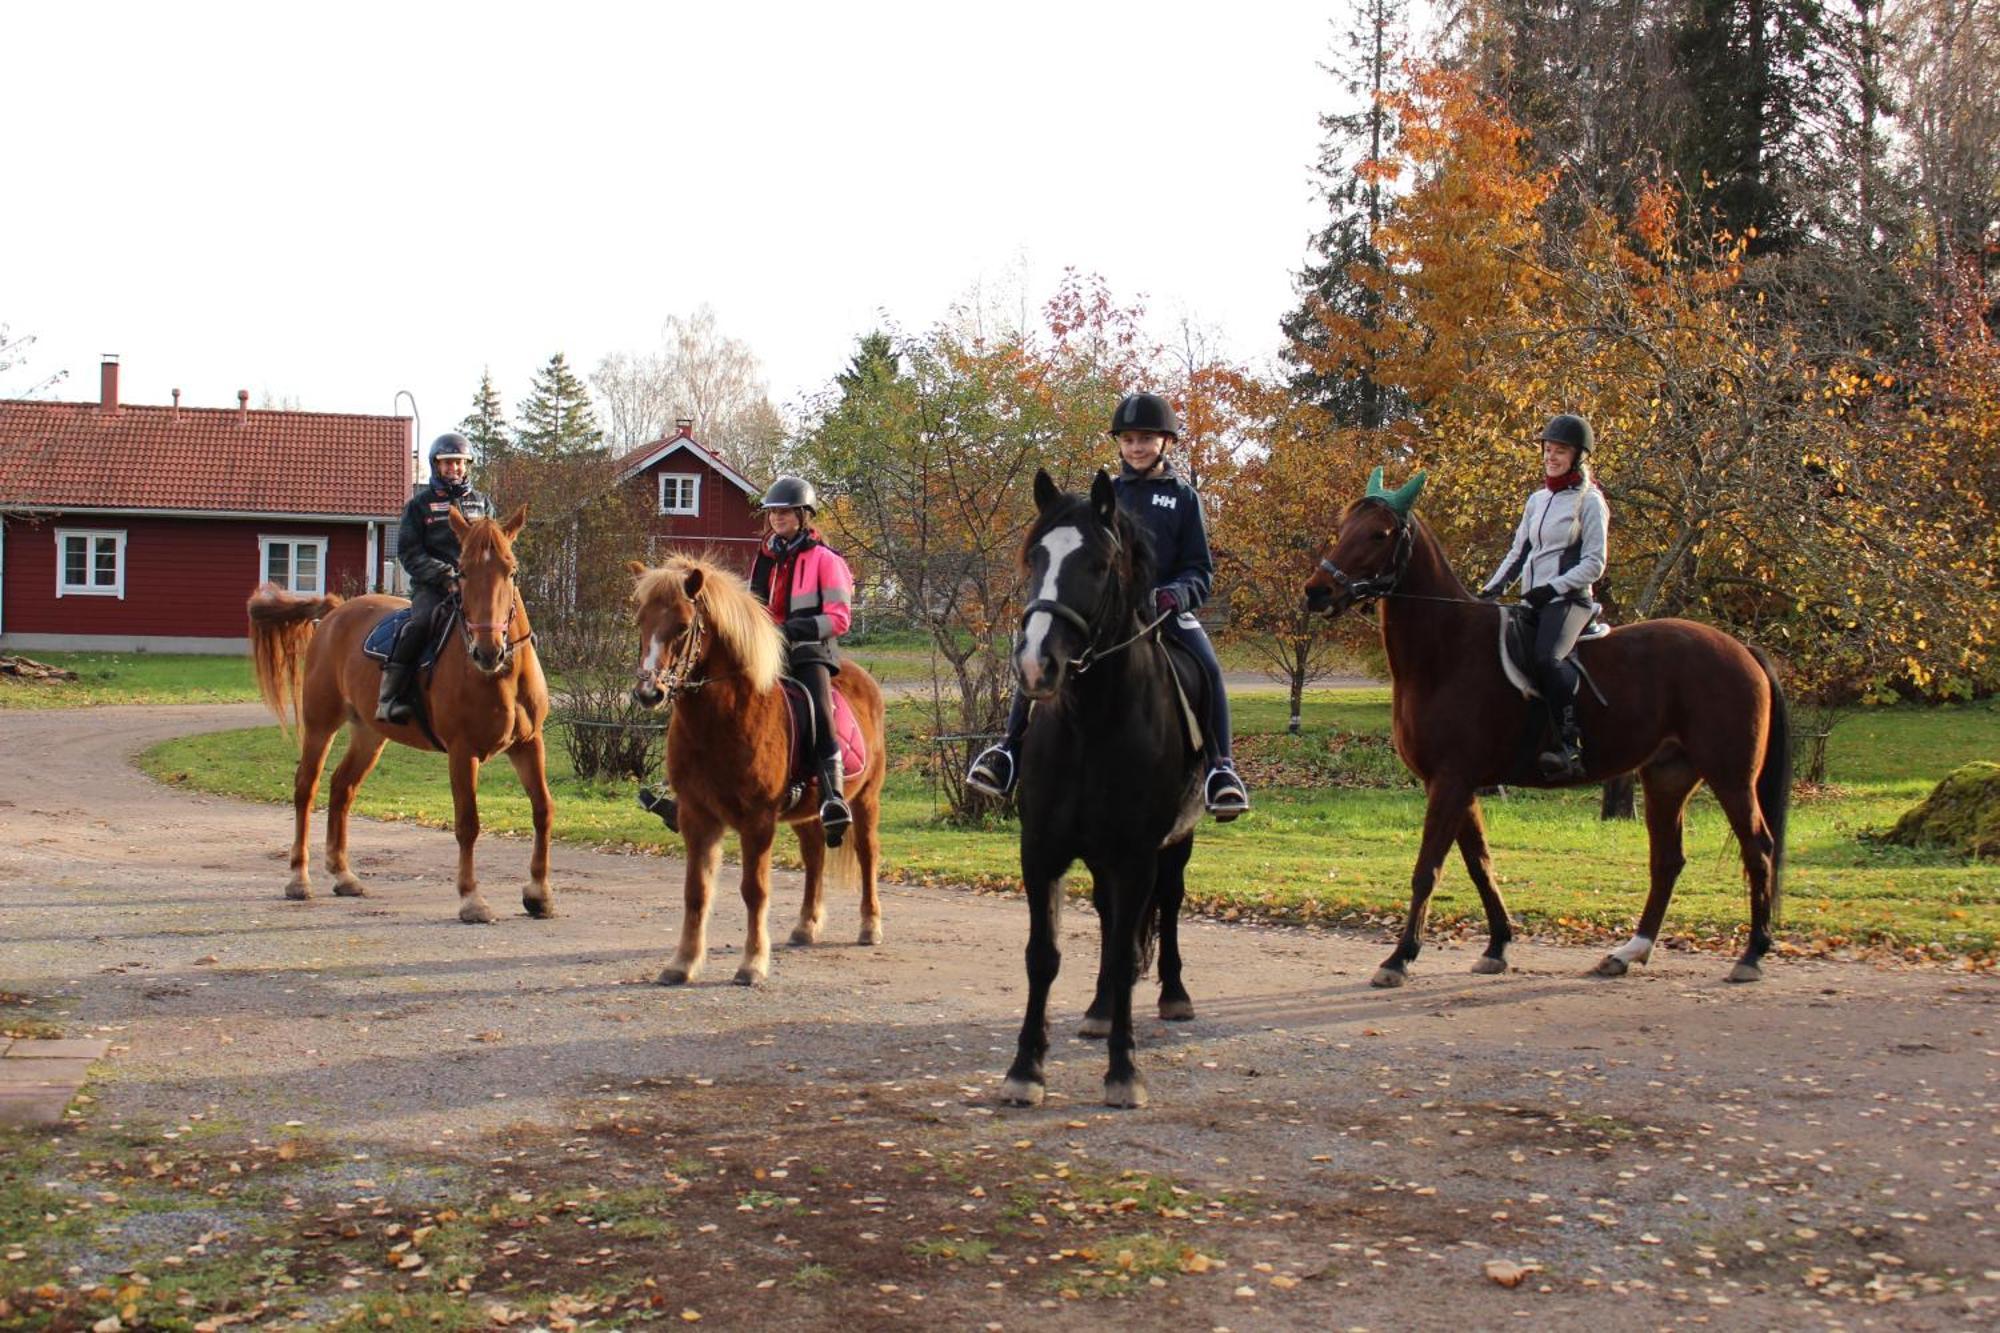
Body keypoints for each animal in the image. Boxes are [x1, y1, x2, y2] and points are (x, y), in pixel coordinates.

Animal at [245, 504, 552, 920]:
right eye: (462, 571)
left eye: (512, 570)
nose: (488, 651)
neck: (500, 675)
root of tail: (337, 611)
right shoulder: (462, 751)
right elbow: (467, 823)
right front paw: (471, 898)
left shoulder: (528, 744)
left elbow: (543, 810)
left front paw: (539, 894)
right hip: (320, 724)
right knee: (306, 788)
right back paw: (299, 879)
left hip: (370, 734)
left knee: (342, 787)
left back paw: (343, 875)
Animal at [628, 552, 888, 984]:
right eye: (640, 621)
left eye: (682, 626)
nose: (649, 692)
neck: (722, 720)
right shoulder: (697, 816)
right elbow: (696, 892)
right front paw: (683, 963)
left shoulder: (758, 820)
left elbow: (755, 890)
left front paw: (752, 963)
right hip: (808, 813)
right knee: (814, 855)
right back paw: (806, 926)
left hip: (866, 800)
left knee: (867, 854)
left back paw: (870, 926)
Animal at [1000, 462, 1200, 1104]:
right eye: (1035, 558)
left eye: (1097, 564)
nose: (1036, 664)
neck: (1091, 725)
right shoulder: (1041, 850)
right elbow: (1044, 955)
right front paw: (1025, 1069)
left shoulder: (1137, 855)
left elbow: (1124, 951)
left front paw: (1123, 1072)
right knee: (1113, 922)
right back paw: (1098, 1010)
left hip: (1175, 845)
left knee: (1167, 905)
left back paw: (1173, 996)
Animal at [1304, 464, 1792, 976]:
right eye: (1343, 528)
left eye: (1379, 534)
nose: (1317, 591)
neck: (1448, 651)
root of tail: (1742, 649)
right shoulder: (1456, 784)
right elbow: (1480, 864)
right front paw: (1497, 945)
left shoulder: (1451, 781)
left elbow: (1428, 869)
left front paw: (1400, 957)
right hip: (1667, 776)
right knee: (1668, 860)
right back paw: (1631, 950)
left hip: (1731, 777)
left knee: (1758, 849)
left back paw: (1752, 953)